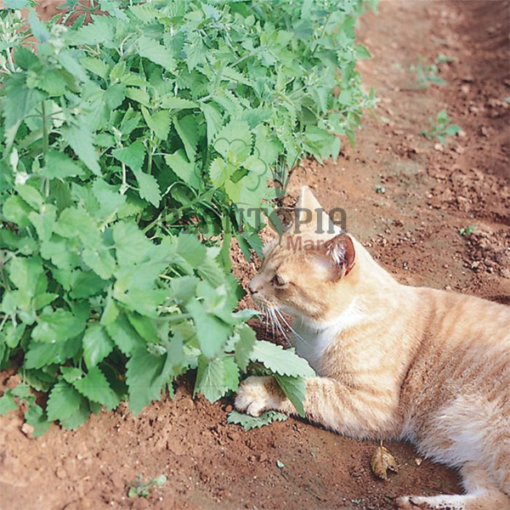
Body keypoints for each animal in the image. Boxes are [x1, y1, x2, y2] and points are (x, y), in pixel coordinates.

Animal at [236, 187, 510, 510]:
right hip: (476, 463)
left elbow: (308, 386)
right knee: (492, 499)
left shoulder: (374, 404)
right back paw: (417, 503)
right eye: (263, 258)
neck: (316, 330)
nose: (250, 287)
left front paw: (257, 389)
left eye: (279, 281)